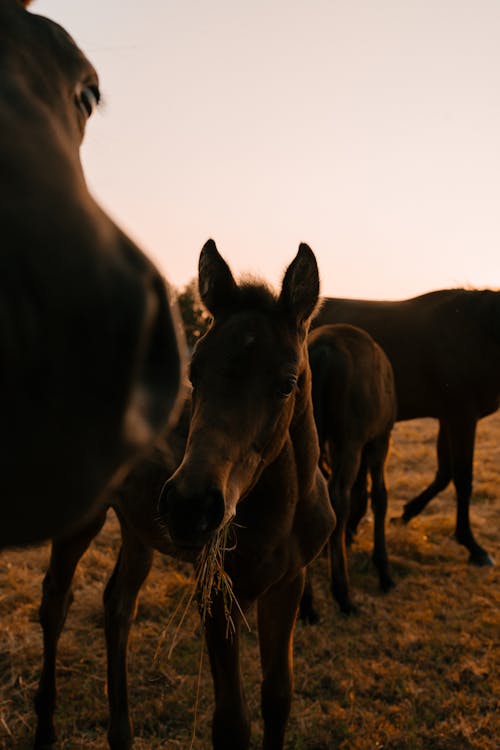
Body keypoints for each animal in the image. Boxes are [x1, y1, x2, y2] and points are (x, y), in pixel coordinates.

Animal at [34, 242, 336, 750]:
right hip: (85, 515)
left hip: (138, 527)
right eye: (194, 372)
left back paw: (122, 735)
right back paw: (45, 729)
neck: (282, 513)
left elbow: (279, 698)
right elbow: (231, 724)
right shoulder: (215, 594)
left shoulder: (288, 583)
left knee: (118, 605)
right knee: (55, 600)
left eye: (287, 383)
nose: (190, 507)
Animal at [312, 290, 500, 568]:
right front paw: (473, 546)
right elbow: (463, 478)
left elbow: (445, 473)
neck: (478, 331)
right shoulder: (463, 417)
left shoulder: (447, 418)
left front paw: (404, 515)